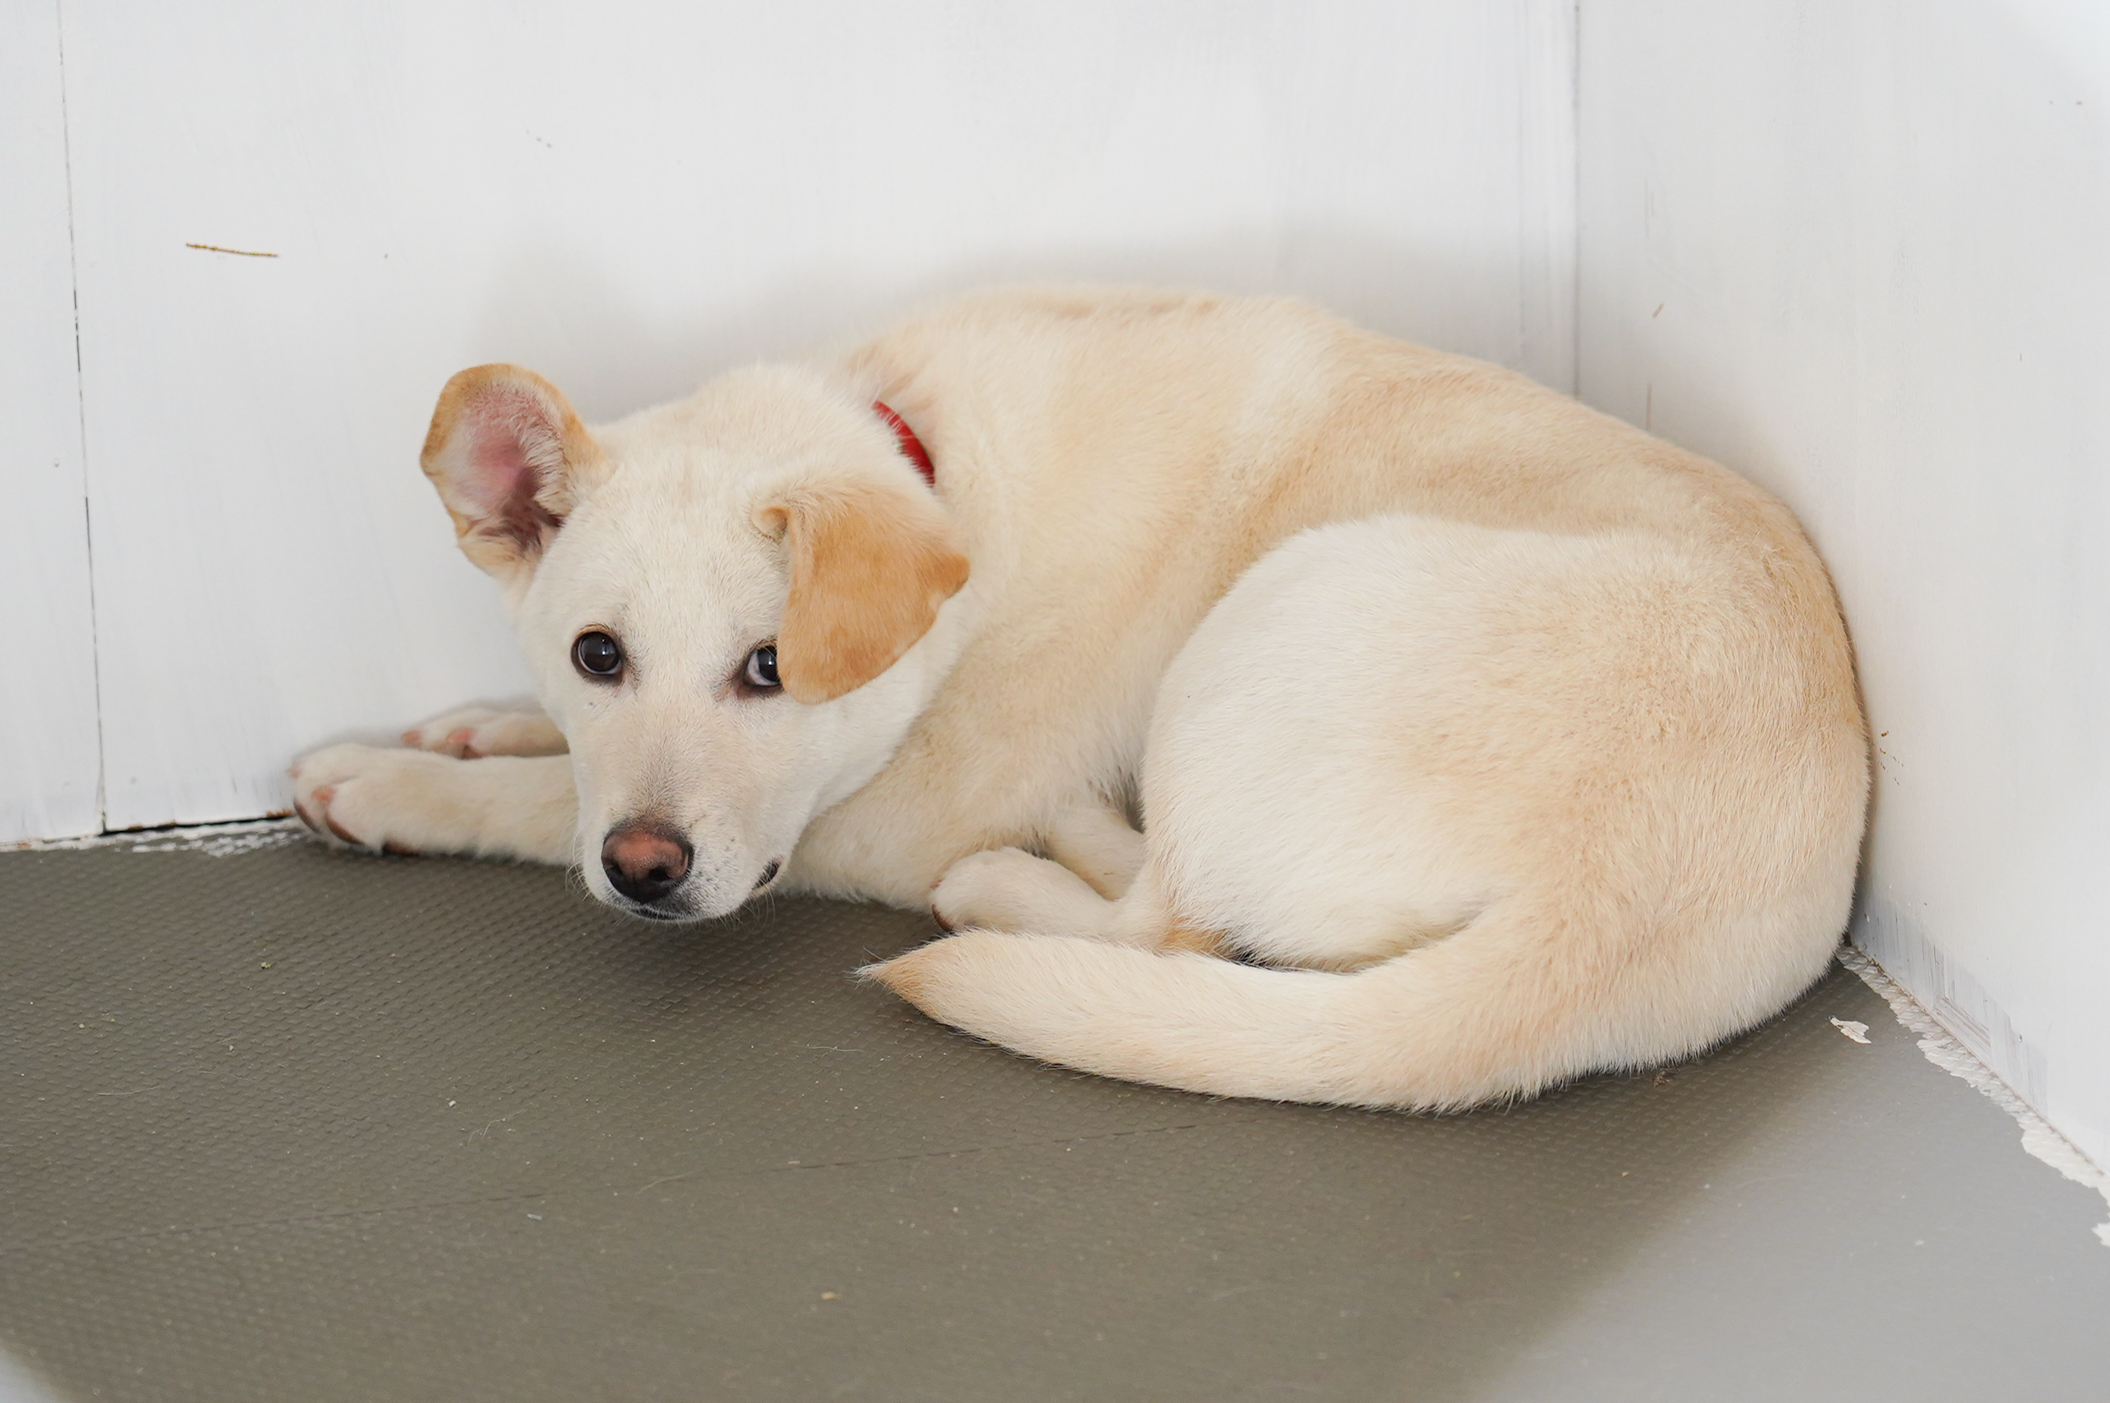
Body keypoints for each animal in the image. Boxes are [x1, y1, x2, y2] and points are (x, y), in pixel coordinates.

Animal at [293, 289, 1865, 1113]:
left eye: (770, 668)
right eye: (595, 656)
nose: (643, 870)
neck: (935, 470)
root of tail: (1601, 911)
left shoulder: (891, 808)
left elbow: (530, 806)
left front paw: (391, 782)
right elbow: (562, 771)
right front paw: (480, 725)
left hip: (1264, 625)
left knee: (1167, 914)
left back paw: (1036, 864)